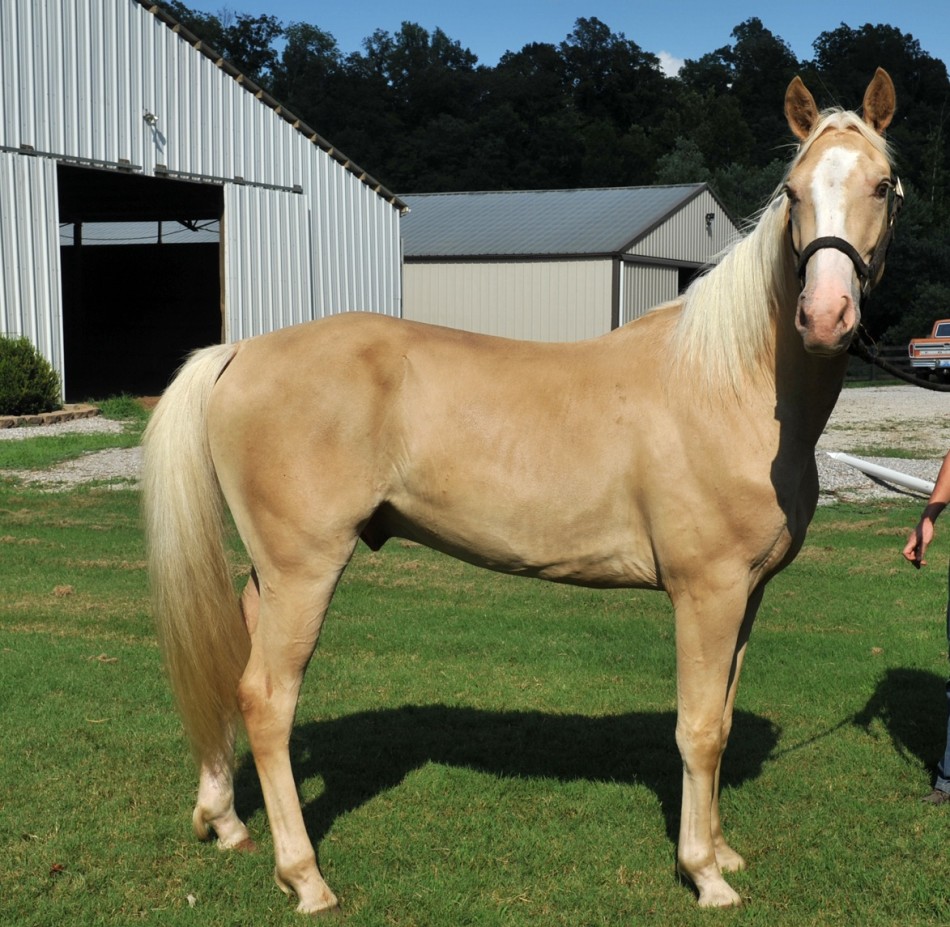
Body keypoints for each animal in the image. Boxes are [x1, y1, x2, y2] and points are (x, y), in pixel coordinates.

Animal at [143, 69, 900, 912]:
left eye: (883, 185)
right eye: (793, 191)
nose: (825, 316)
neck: (730, 385)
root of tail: (240, 350)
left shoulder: (748, 595)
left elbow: (725, 720)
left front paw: (724, 850)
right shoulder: (707, 592)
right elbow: (699, 729)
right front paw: (703, 872)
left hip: (269, 573)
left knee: (233, 674)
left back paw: (225, 822)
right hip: (305, 570)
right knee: (268, 699)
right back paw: (305, 876)